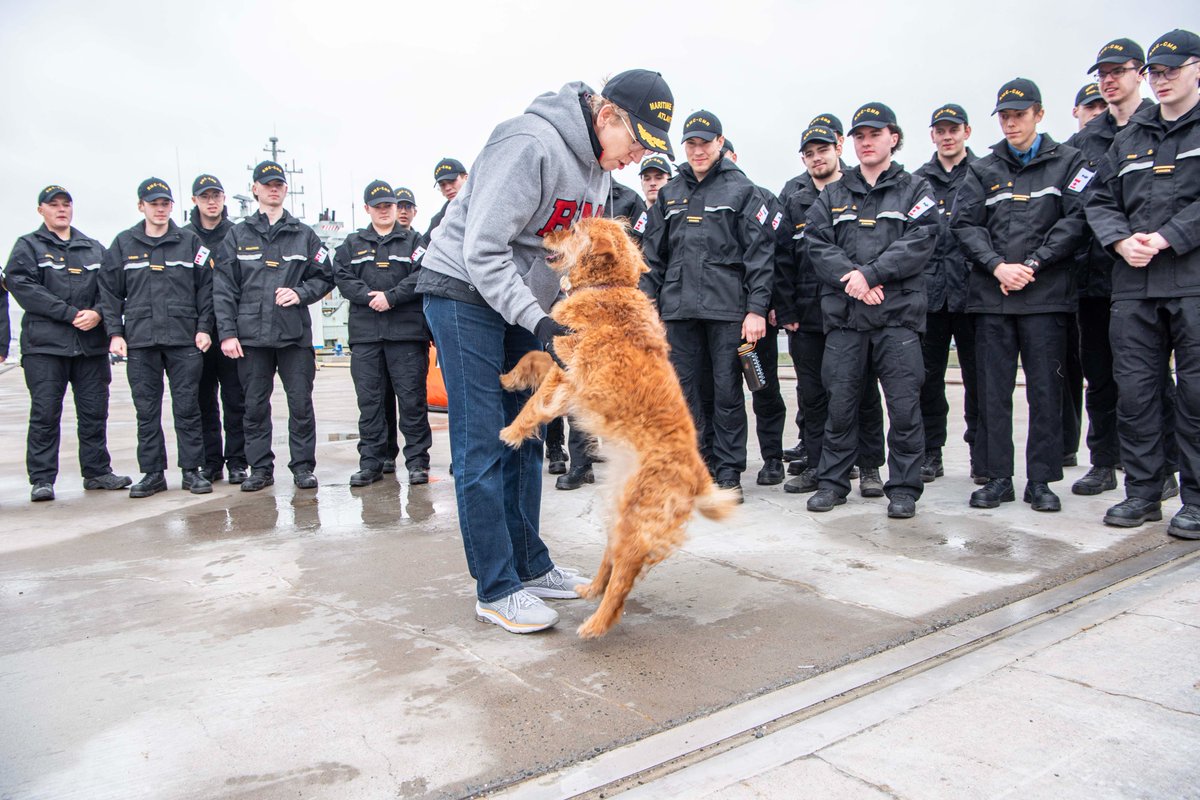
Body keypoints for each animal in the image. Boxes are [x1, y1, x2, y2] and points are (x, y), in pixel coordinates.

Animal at [496, 214, 739, 638]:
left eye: (575, 229)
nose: (548, 232)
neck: (609, 287)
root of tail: (699, 474)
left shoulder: (566, 374)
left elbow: (533, 406)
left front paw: (511, 432)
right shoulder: (557, 356)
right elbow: (530, 358)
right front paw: (510, 377)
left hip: (635, 522)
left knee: (624, 579)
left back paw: (596, 623)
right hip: (617, 512)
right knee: (611, 564)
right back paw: (590, 587)